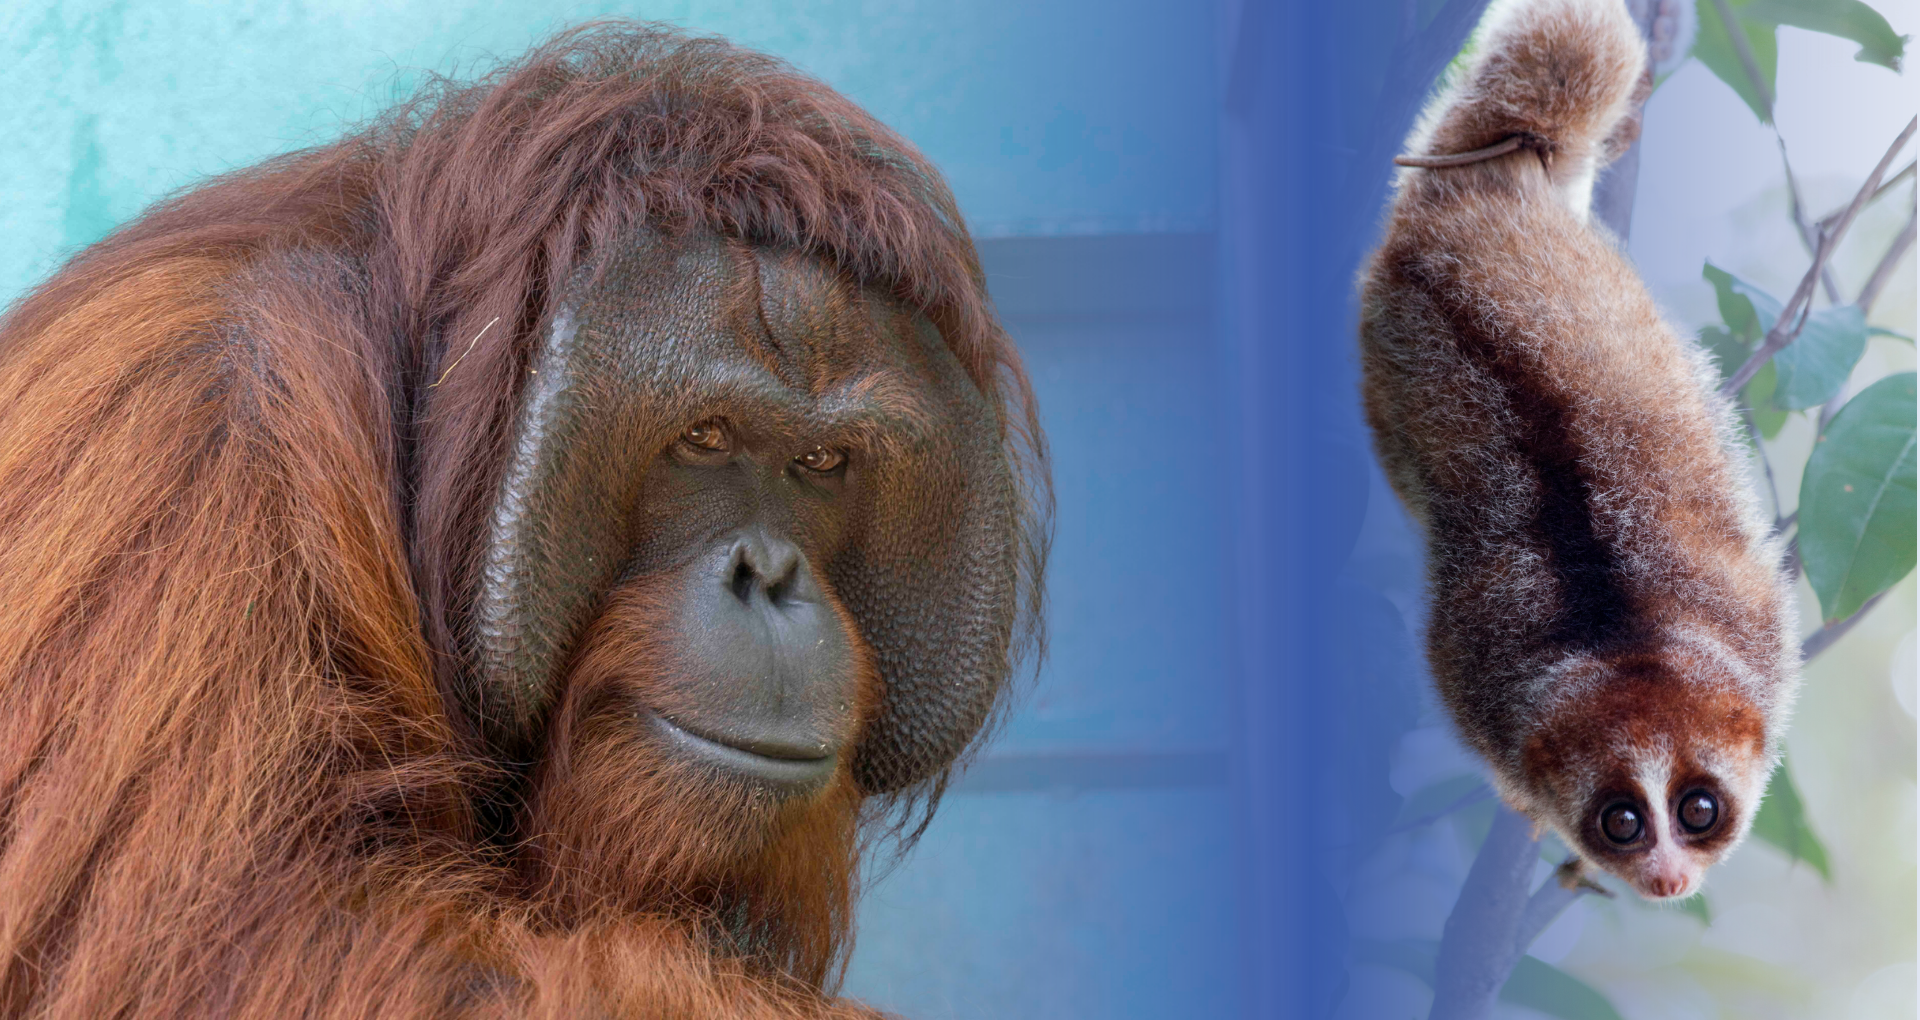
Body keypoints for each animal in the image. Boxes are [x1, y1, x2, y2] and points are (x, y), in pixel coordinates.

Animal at [1357, 0, 1799, 900]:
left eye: (1700, 809)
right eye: (1620, 822)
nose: (1666, 880)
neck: (1627, 632)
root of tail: (1472, 194)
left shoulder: (1768, 631)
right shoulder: (1470, 683)